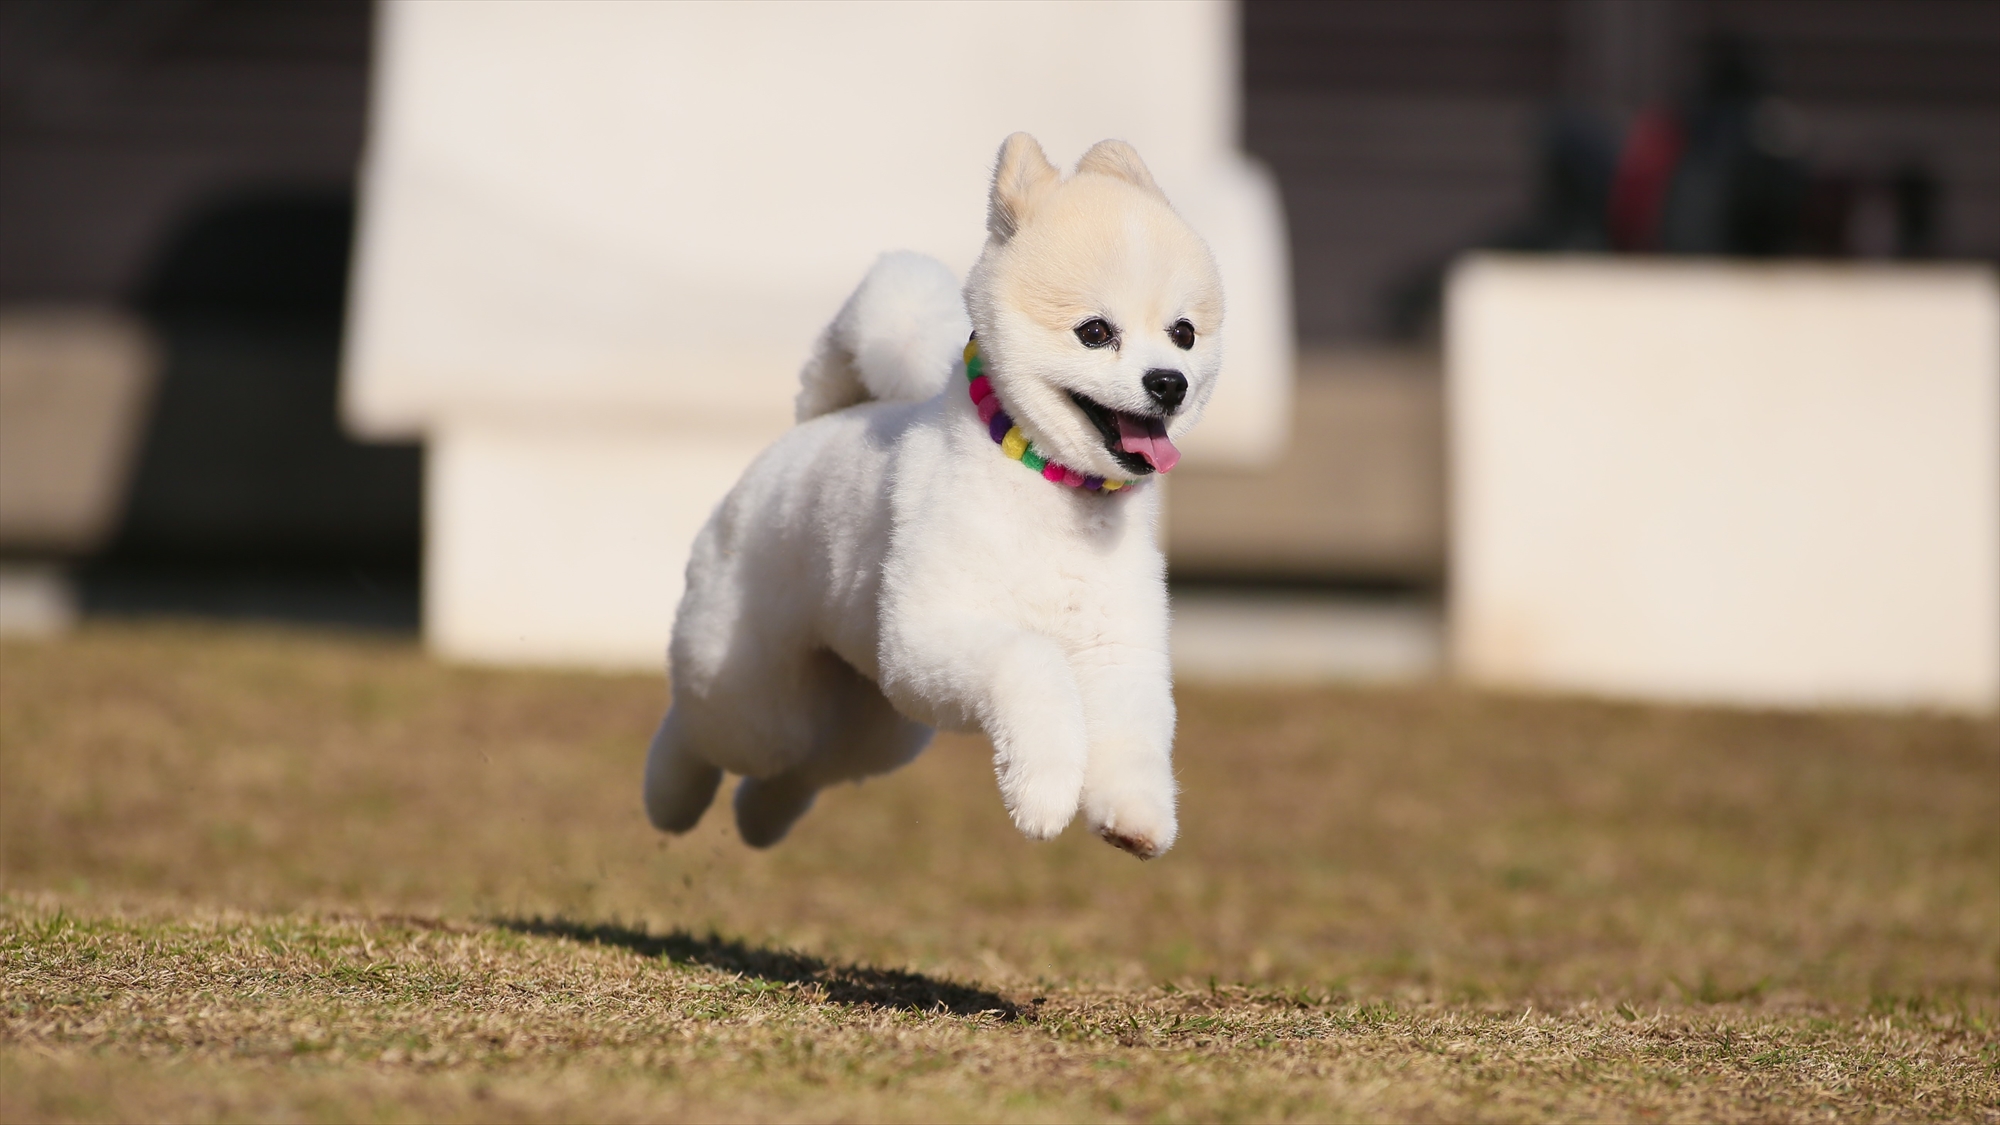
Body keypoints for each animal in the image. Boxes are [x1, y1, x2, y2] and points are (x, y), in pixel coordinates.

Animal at [648, 133, 1224, 848]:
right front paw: (1043, 792)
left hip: (873, 716)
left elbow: (1135, 740)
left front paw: (1135, 816)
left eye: (1184, 333)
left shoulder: (1115, 651)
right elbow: (1033, 663)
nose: (1169, 382)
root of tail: (818, 421)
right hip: (754, 686)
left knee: (811, 765)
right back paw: (669, 797)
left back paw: (761, 819)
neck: (1050, 485)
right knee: (713, 728)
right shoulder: (931, 633)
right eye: (1095, 332)